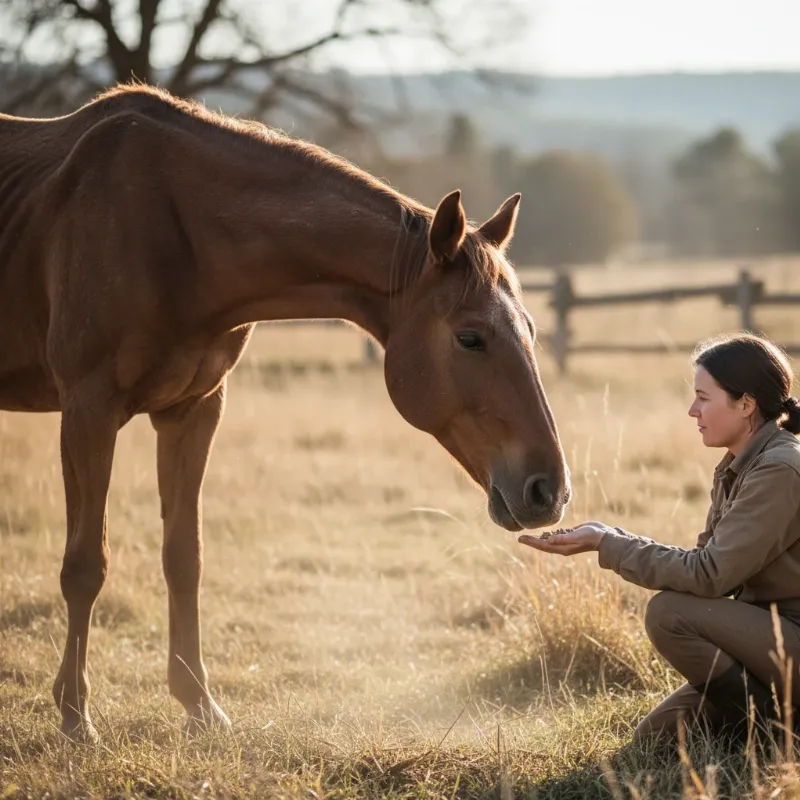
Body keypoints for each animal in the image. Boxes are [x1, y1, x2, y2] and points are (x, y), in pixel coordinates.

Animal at [0, 84, 571, 742]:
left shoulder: (194, 410)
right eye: (471, 338)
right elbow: (85, 565)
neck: (173, 231)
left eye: (531, 329)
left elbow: (184, 557)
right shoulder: (87, 409)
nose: (549, 490)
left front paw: (200, 705)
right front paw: (75, 717)